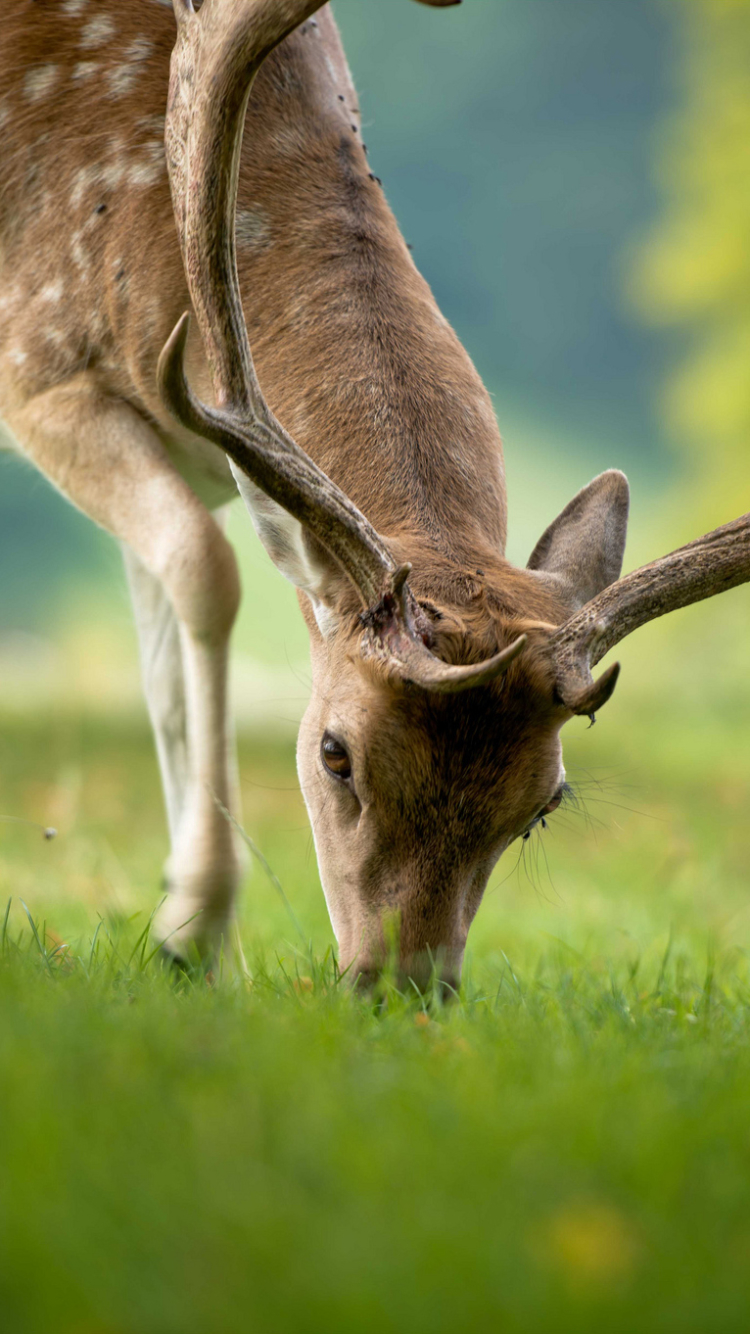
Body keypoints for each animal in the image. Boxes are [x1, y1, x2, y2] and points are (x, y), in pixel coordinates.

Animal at [1, 0, 747, 992]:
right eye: (335, 756)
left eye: (544, 804)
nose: (401, 987)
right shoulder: (39, 366)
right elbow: (205, 569)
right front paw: (196, 929)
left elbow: (160, 662)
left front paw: (173, 919)